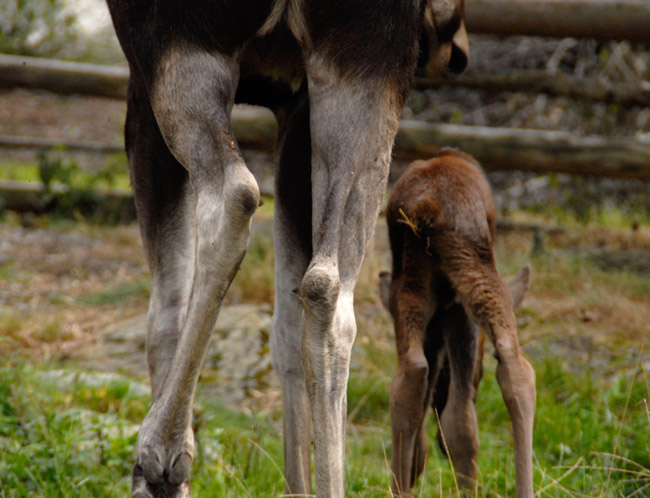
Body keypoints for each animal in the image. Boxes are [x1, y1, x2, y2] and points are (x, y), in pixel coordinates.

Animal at [105, 0, 468, 496]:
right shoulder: (296, 107)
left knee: (234, 198)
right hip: (366, 73)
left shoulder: (141, 81)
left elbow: (166, 312)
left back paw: (160, 447)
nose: (456, 49)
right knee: (329, 292)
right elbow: (286, 328)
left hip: (180, 43)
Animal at [379, 149, 536, 498]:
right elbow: (459, 421)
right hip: (473, 276)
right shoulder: (457, 315)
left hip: (412, 283)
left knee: (412, 374)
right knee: (504, 376)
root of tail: (427, 206)